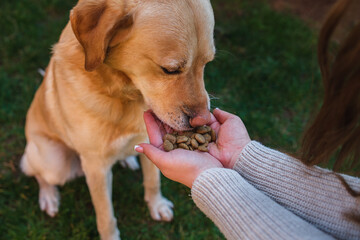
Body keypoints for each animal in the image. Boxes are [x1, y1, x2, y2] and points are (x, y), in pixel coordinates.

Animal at [20, 0, 214, 239]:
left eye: (206, 63)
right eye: (170, 70)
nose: (204, 120)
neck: (126, 94)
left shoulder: (147, 139)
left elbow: (153, 181)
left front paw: (157, 205)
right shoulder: (96, 167)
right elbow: (106, 216)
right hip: (54, 163)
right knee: (35, 171)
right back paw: (48, 196)